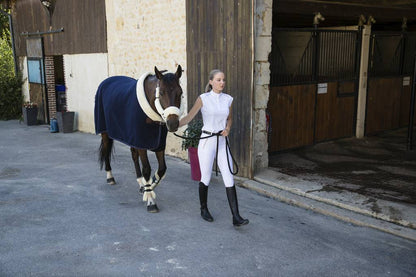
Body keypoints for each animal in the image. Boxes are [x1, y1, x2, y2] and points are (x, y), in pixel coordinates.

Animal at [96, 64, 184, 211]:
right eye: (161, 93)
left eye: (180, 93)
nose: (172, 124)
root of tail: (105, 82)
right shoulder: (142, 143)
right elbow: (147, 169)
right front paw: (150, 201)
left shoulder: (158, 144)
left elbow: (162, 169)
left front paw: (149, 187)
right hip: (105, 133)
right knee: (107, 151)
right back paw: (110, 177)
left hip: (132, 138)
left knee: (133, 156)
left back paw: (141, 183)